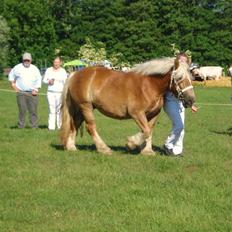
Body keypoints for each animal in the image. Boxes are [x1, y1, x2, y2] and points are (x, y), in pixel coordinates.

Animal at [60, 52, 196, 154]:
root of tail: (75, 74)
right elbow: (146, 131)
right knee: (90, 127)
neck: (149, 85)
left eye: (191, 77)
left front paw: (147, 150)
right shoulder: (137, 113)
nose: (191, 100)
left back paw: (71, 147)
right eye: (179, 78)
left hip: (83, 108)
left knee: (74, 124)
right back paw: (104, 149)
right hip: (85, 106)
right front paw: (131, 143)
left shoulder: (154, 114)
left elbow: (149, 131)